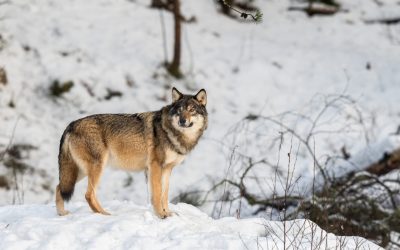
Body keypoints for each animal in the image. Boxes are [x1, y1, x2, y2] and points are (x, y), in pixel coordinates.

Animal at [55, 88, 208, 219]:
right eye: (179, 110)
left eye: (192, 110)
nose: (182, 120)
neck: (171, 132)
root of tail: (71, 124)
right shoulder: (155, 166)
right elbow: (157, 194)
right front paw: (161, 215)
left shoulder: (167, 169)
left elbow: (164, 195)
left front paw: (168, 213)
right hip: (97, 168)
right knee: (88, 194)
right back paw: (104, 214)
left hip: (79, 172)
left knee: (59, 187)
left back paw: (62, 214)